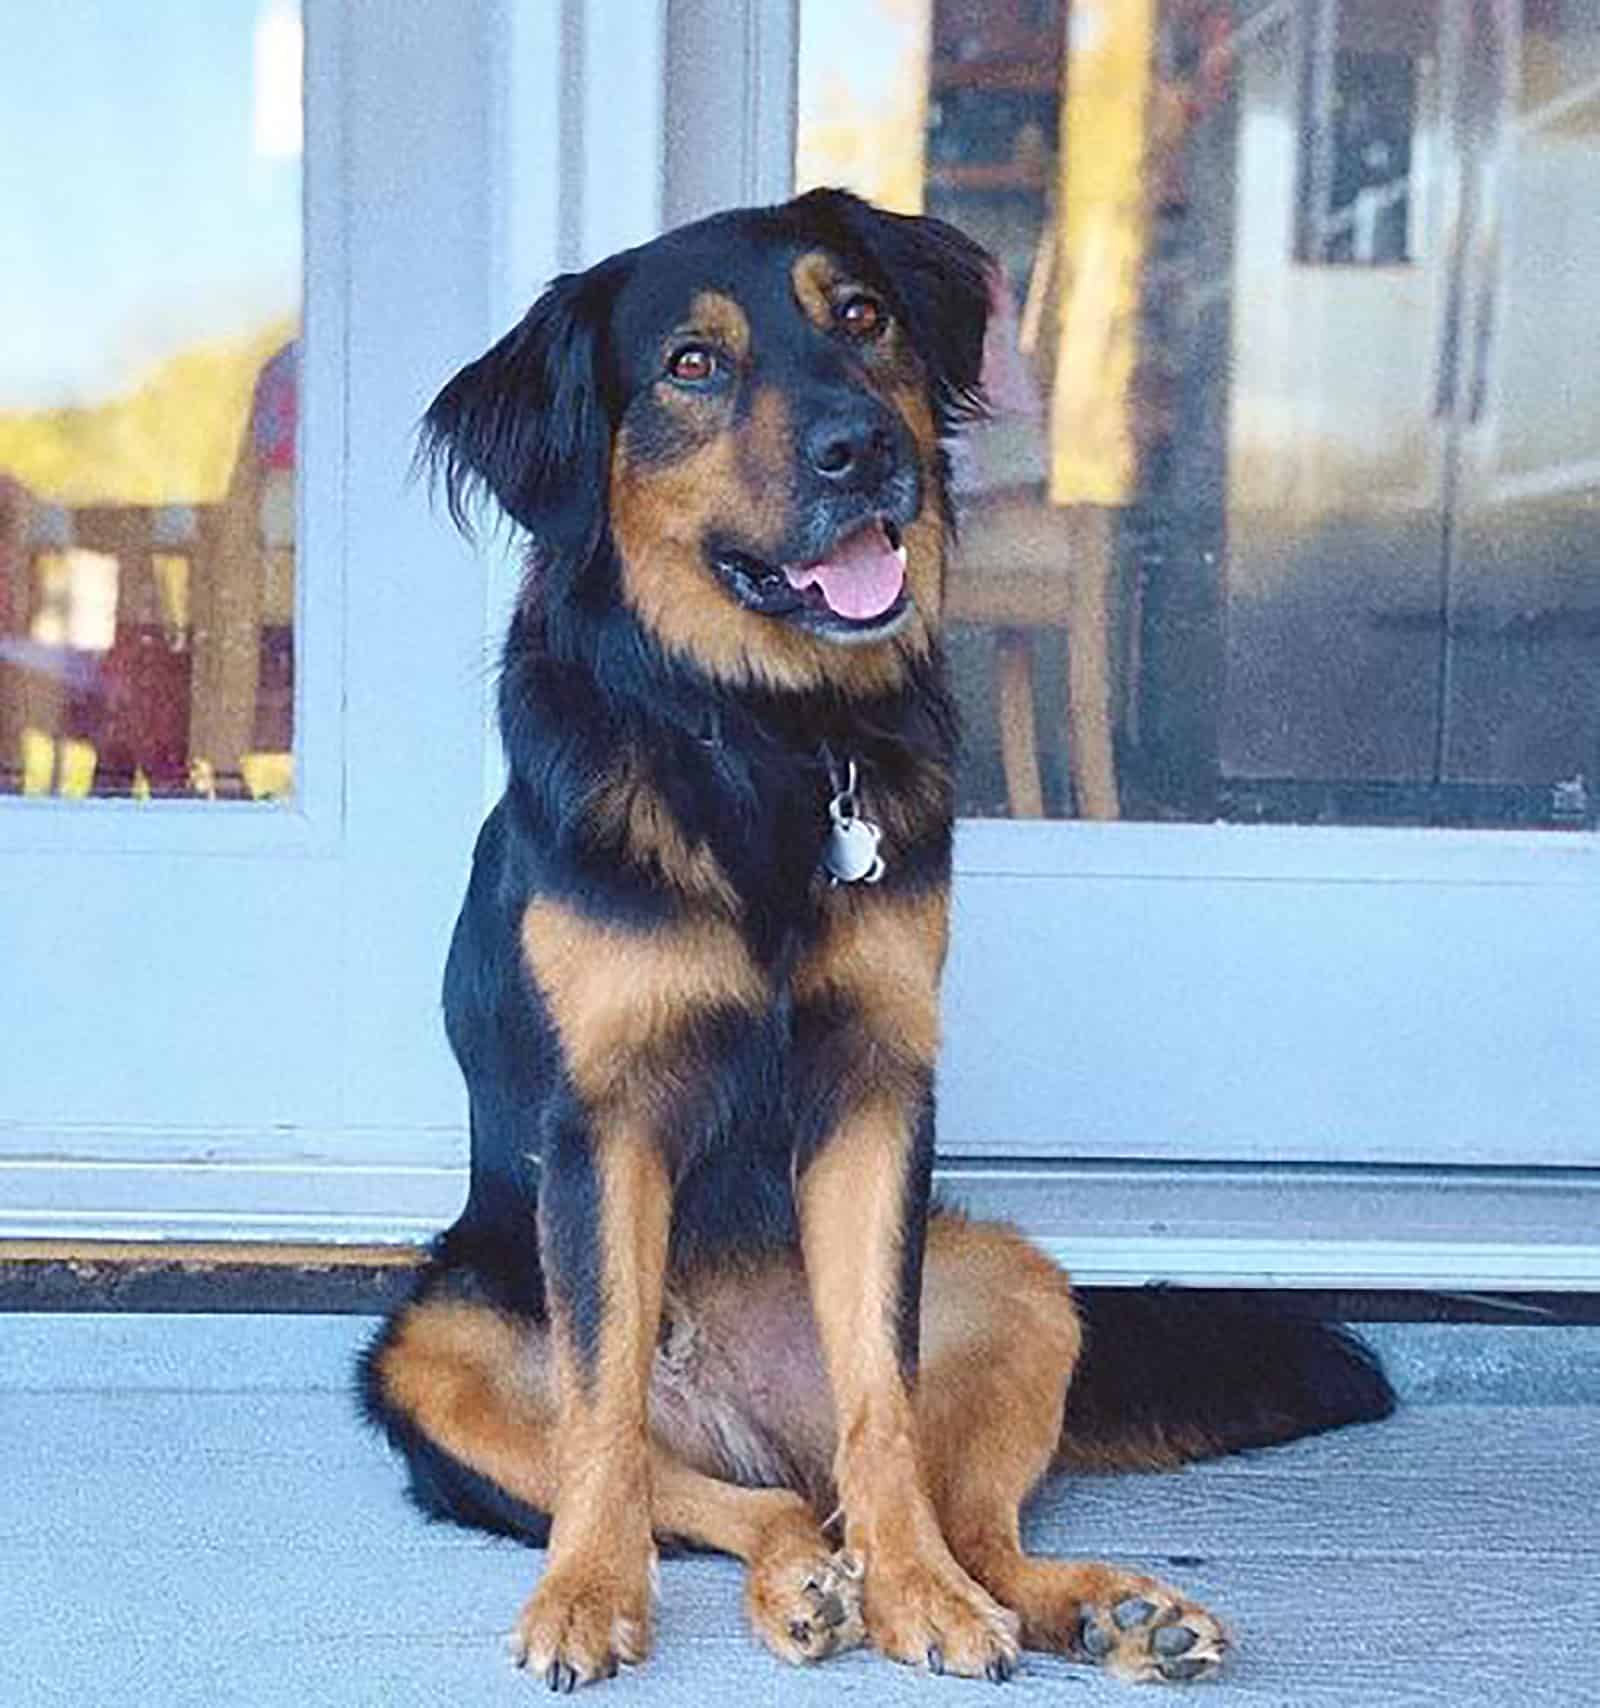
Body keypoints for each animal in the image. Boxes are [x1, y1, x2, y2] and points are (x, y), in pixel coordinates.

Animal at [358, 193, 1386, 1687]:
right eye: (690, 365)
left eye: (861, 317)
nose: (866, 448)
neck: (769, 739)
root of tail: (751, 1415)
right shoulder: (603, 1119)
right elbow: (603, 1413)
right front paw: (586, 1597)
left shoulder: (875, 1092)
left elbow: (883, 1405)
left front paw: (920, 1594)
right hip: (430, 1350)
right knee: (721, 1492)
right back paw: (794, 1582)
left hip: (1015, 1281)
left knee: (922, 1502)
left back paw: (1082, 1604)